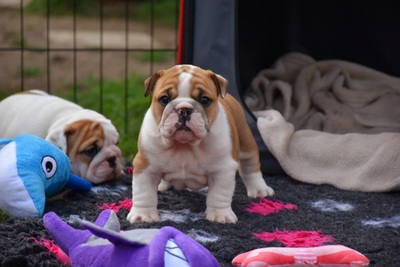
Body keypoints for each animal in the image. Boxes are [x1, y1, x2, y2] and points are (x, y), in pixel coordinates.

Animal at [128, 65, 276, 224]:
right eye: (164, 99)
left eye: (204, 100)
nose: (184, 110)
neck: (184, 145)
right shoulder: (145, 166)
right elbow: (144, 193)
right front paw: (143, 215)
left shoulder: (223, 170)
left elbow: (219, 194)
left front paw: (220, 215)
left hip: (246, 142)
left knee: (251, 166)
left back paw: (260, 189)